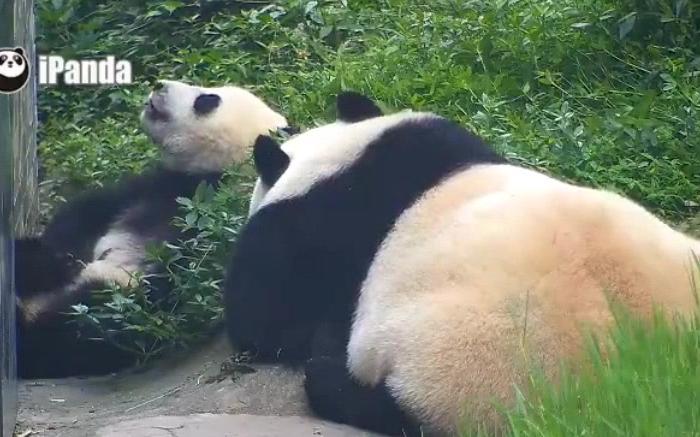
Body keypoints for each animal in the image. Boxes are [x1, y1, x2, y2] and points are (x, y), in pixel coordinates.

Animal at [17, 79, 290, 378]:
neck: (209, 175)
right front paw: (54, 261)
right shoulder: (152, 188)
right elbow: (83, 215)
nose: (159, 84)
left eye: (207, 100)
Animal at [224, 91, 700, 432]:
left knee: (391, 407)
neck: (341, 158)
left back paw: (332, 369)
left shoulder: (302, 231)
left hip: (463, 364)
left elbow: (260, 317)